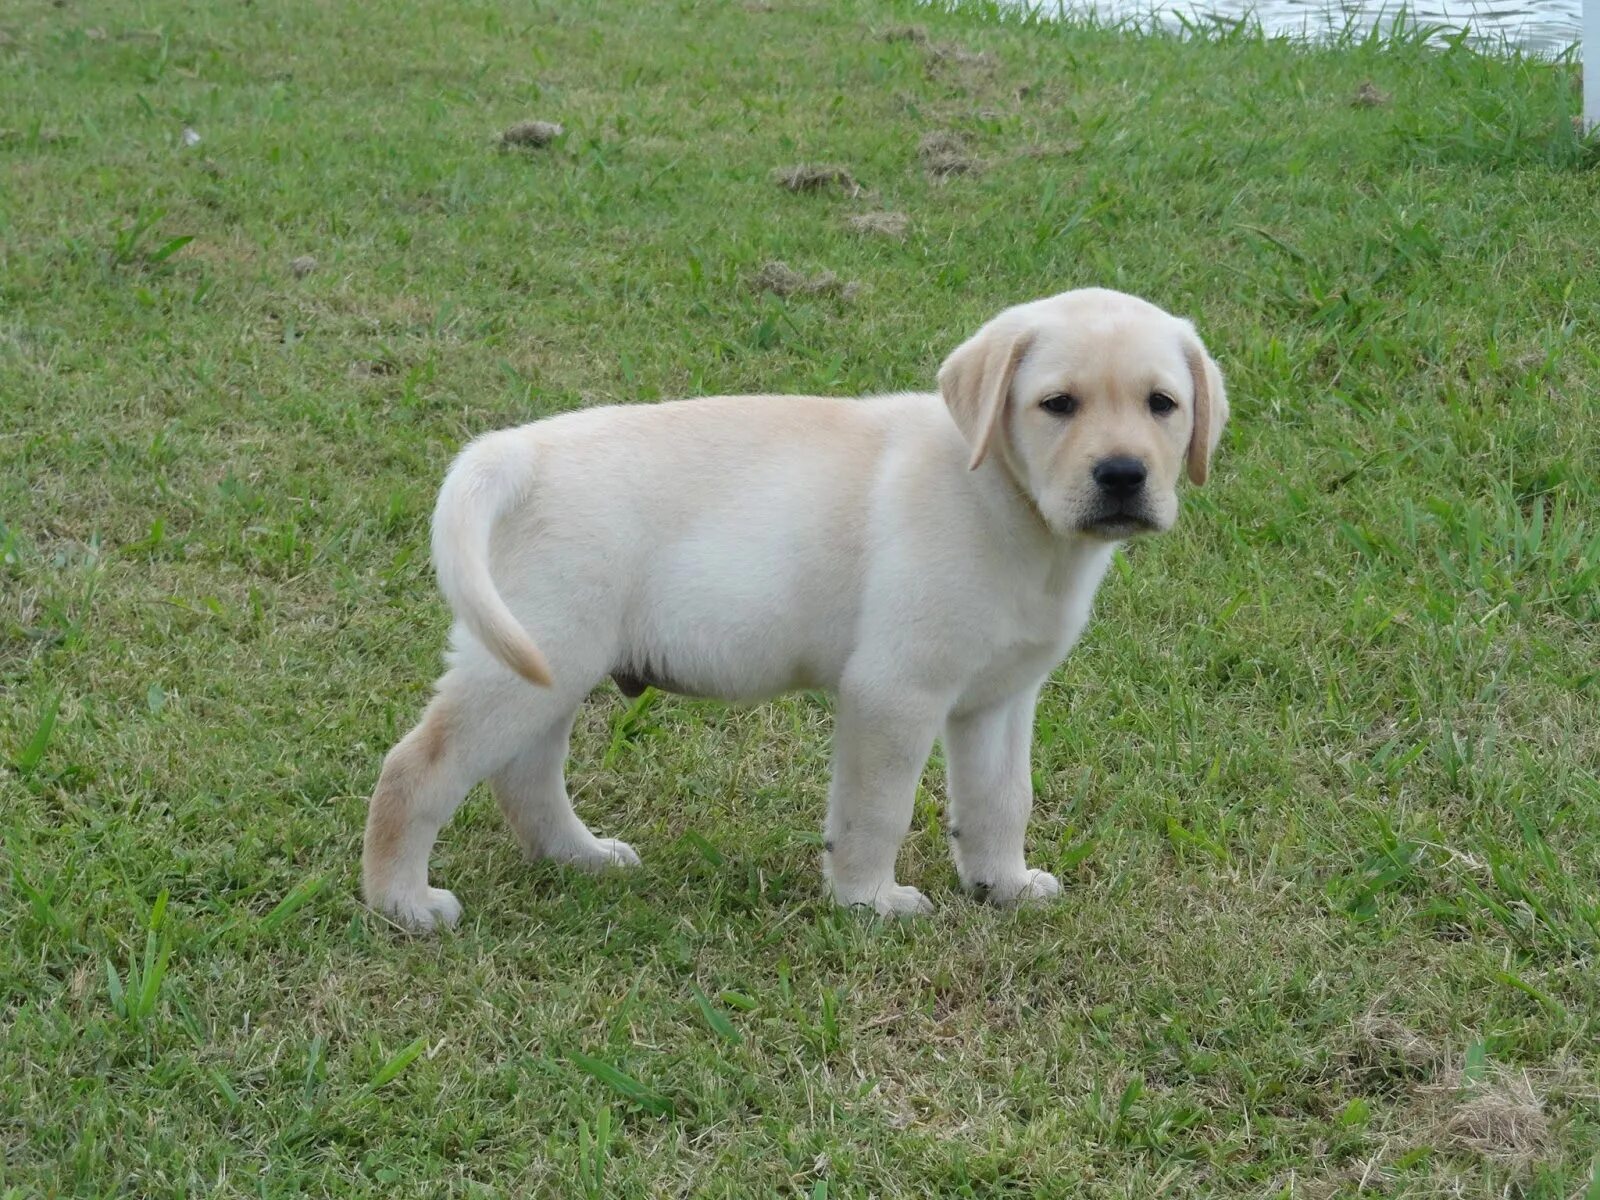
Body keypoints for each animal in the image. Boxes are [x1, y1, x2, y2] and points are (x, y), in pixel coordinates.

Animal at [366, 289, 1222, 928]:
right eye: (1058, 404)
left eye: (1162, 404)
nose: (1123, 475)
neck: (1005, 502)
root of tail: (516, 452)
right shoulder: (894, 692)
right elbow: (877, 809)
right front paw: (869, 902)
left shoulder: (1000, 700)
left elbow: (1000, 799)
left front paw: (1002, 887)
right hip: (536, 654)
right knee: (418, 769)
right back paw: (401, 902)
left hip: (550, 664)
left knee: (527, 777)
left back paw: (581, 858)